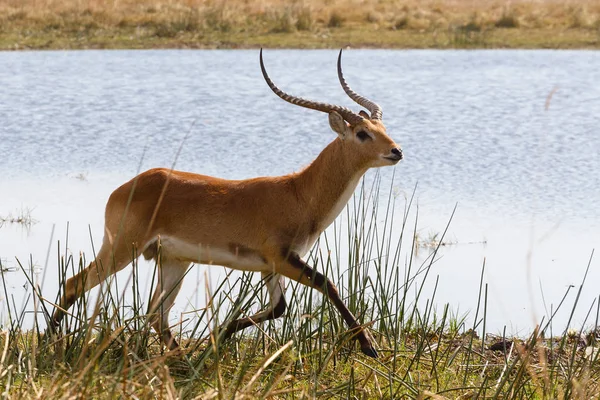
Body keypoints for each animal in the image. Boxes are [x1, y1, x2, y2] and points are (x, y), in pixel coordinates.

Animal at [51, 48, 404, 358]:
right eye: (362, 133)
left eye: (382, 128)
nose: (396, 151)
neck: (298, 193)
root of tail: (126, 187)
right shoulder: (283, 258)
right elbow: (327, 285)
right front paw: (369, 347)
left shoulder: (271, 266)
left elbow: (279, 308)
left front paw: (218, 335)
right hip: (122, 249)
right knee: (74, 283)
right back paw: (52, 344)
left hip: (172, 260)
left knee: (155, 314)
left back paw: (181, 361)